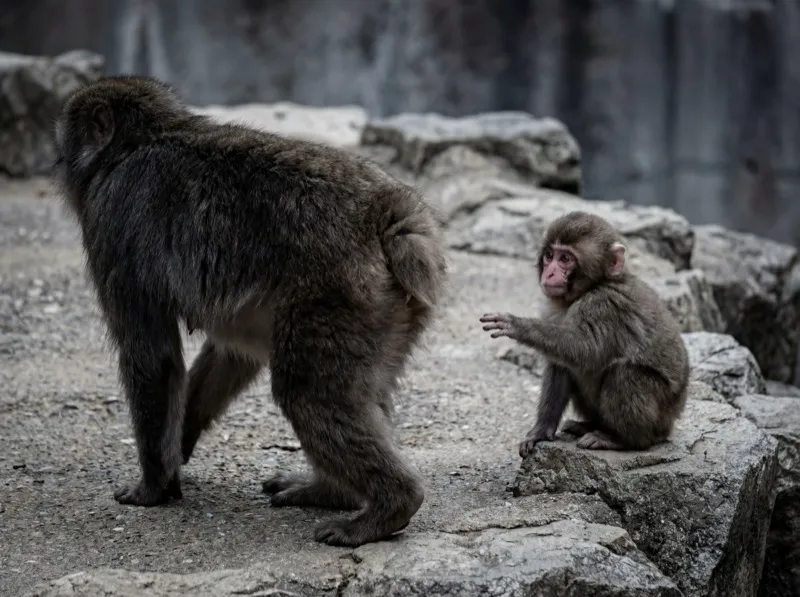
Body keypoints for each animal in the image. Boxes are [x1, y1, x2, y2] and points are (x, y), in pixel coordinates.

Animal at [52, 75, 448, 547]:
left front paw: (152, 485)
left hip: (342, 294)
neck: (144, 138)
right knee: (359, 391)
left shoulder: (110, 225)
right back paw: (334, 493)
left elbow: (153, 359)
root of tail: (391, 212)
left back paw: (388, 506)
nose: (58, 160)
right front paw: (179, 443)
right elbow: (230, 352)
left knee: (306, 393)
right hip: (390, 310)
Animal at [480, 211, 689, 456]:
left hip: (661, 415)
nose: (550, 273)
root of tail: (672, 420)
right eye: (549, 255)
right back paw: (590, 426)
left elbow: (586, 350)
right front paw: (541, 430)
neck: (593, 286)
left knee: (625, 374)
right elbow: (561, 362)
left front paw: (518, 325)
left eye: (565, 259)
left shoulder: (603, 305)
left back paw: (623, 439)